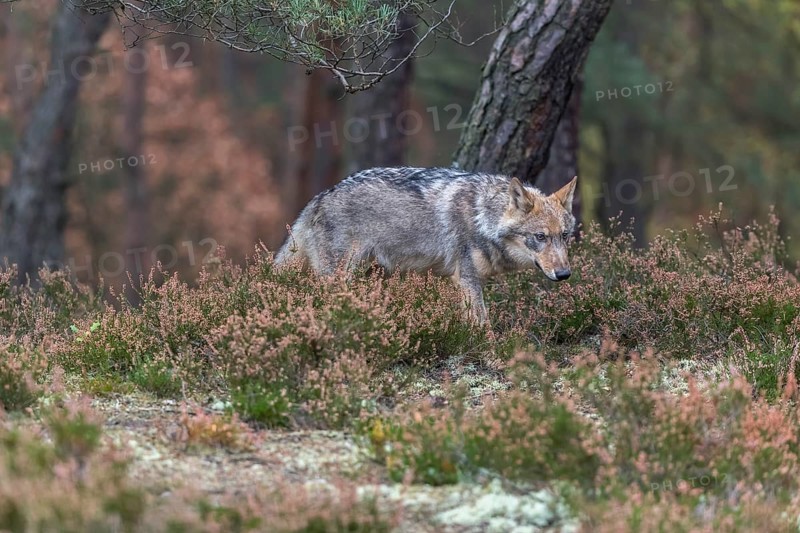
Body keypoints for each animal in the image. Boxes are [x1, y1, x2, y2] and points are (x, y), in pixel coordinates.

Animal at [275, 167, 577, 324]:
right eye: (540, 237)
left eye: (564, 235)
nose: (564, 275)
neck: (483, 216)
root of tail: (318, 199)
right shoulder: (467, 278)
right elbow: (483, 323)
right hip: (340, 276)